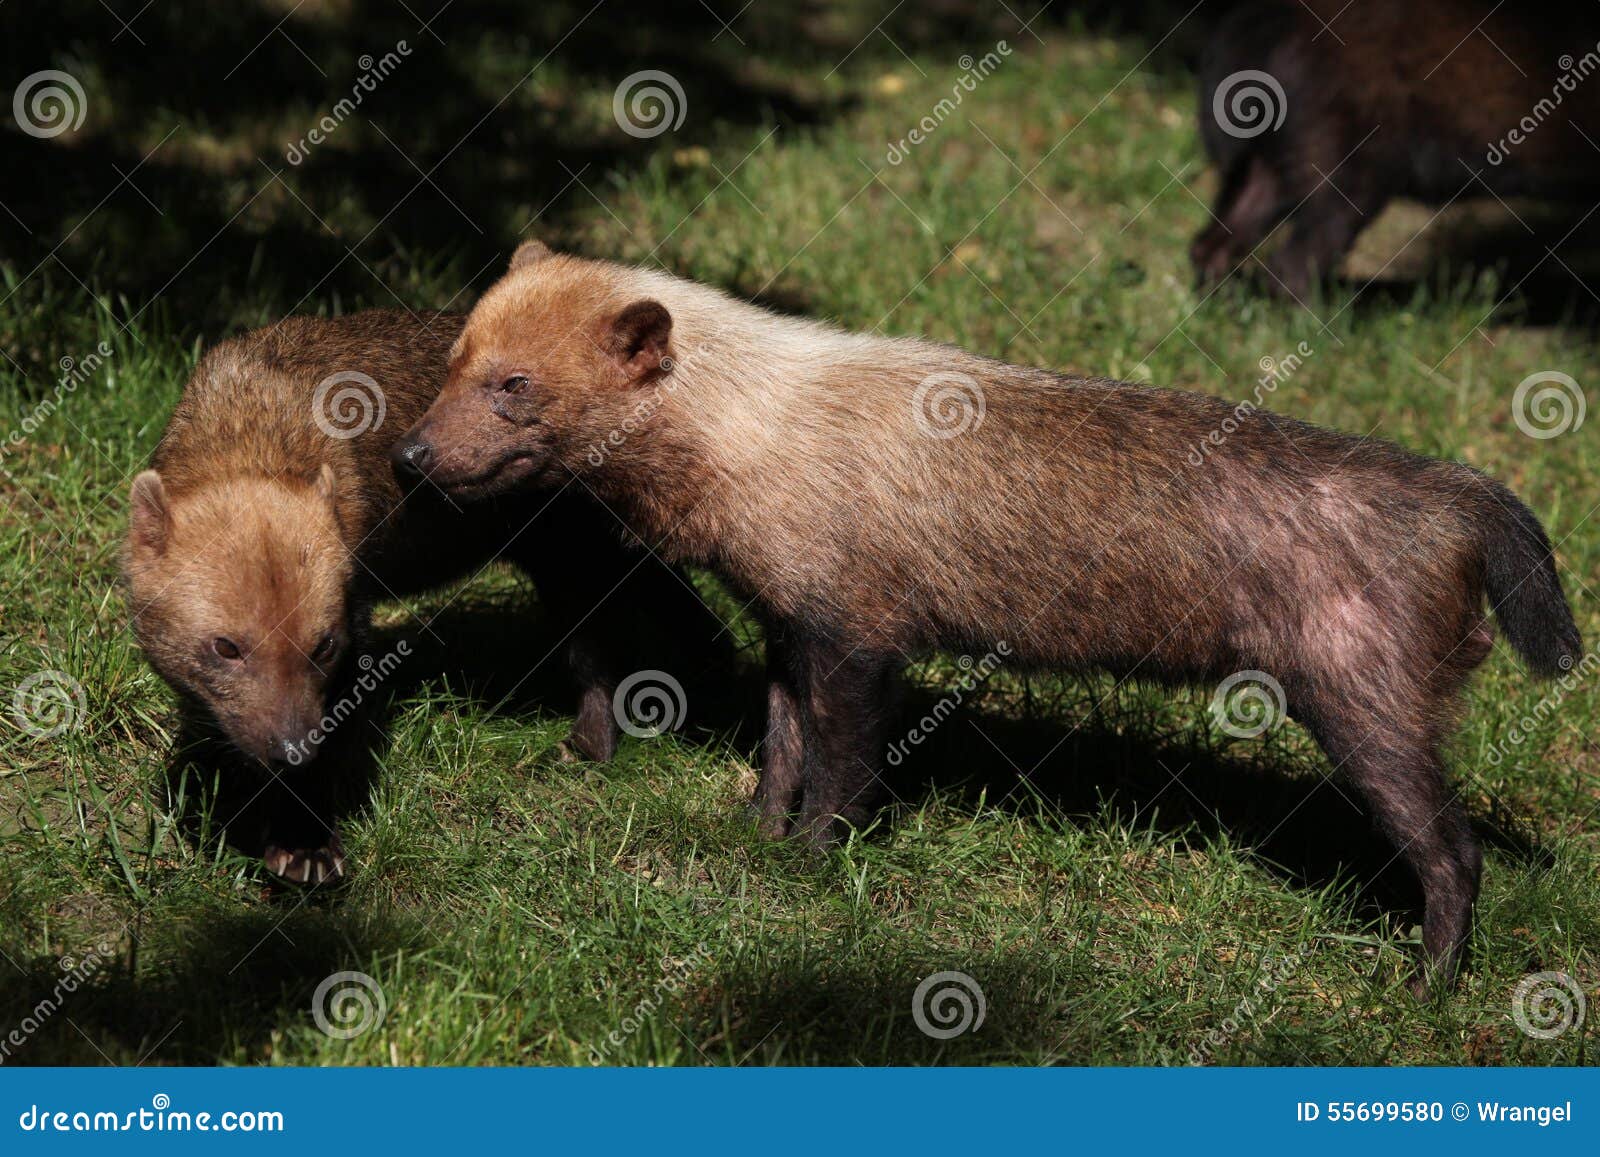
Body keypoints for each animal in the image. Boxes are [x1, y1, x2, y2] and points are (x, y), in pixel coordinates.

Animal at [124, 312, 726, 883]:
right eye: (226, 648)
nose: (292, 751)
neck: (252, 428)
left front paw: (304, 844)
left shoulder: (356, 616)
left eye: (324, 646)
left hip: (587, 558)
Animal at [393, 241, 1580, 985]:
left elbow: (842, 769)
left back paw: (1426, 985)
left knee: (1452, 853)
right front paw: (755, 838)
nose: (407, 454)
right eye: (452, 359)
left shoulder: (860, 637)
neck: (755, 425)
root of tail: (1463, 495)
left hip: (1367, 706)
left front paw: (813, 866)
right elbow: (779, 747)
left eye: (514, 383)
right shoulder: (788, 623)